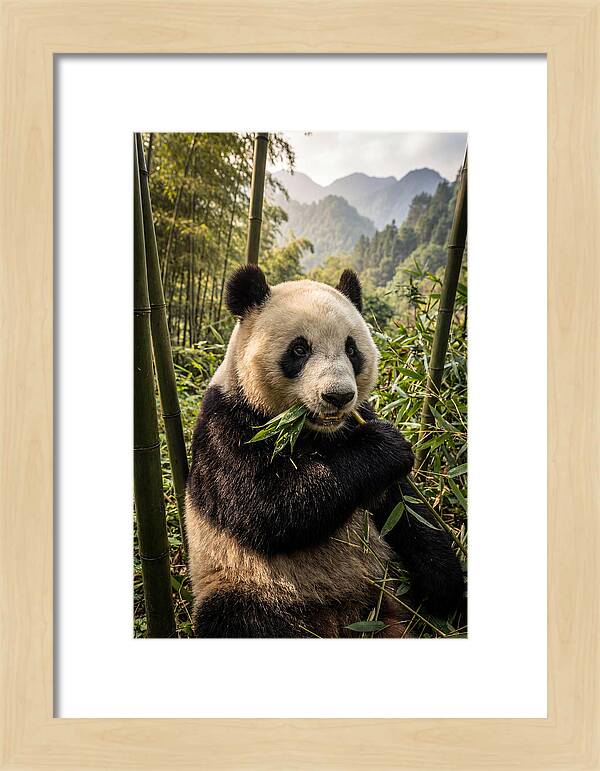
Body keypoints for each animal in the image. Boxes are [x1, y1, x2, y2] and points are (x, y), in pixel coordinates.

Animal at [185, 265, 464, 638]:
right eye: (299, 349)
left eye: (352, 349)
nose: (338, 396)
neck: (312, 431)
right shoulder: (228, 424)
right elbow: (266, 507)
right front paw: (385, 446)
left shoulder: (358, 423)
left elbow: (406, 510)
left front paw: (445, 586)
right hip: (246, 582)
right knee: (237, 618)